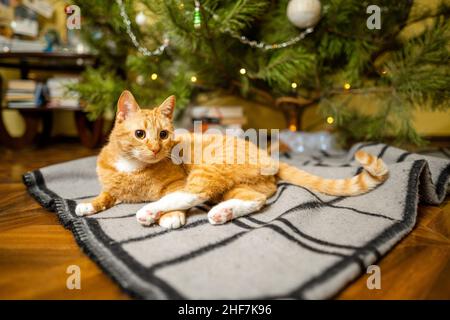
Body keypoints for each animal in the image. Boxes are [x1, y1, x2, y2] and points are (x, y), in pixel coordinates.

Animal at [75, 91, 388, 229]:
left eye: (163, 134)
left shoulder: (176, 183)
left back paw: (150, 211)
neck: (132, 168)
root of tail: (266, 154)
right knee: (256, 199)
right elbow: (105, 195)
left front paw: (169, 217)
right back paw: (224, 213)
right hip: (235, 186)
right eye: (140, 134)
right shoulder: (112, 187)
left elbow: (174, 196)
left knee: (192, 194)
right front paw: (88, 204)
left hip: (209, 170)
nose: (154, 148)